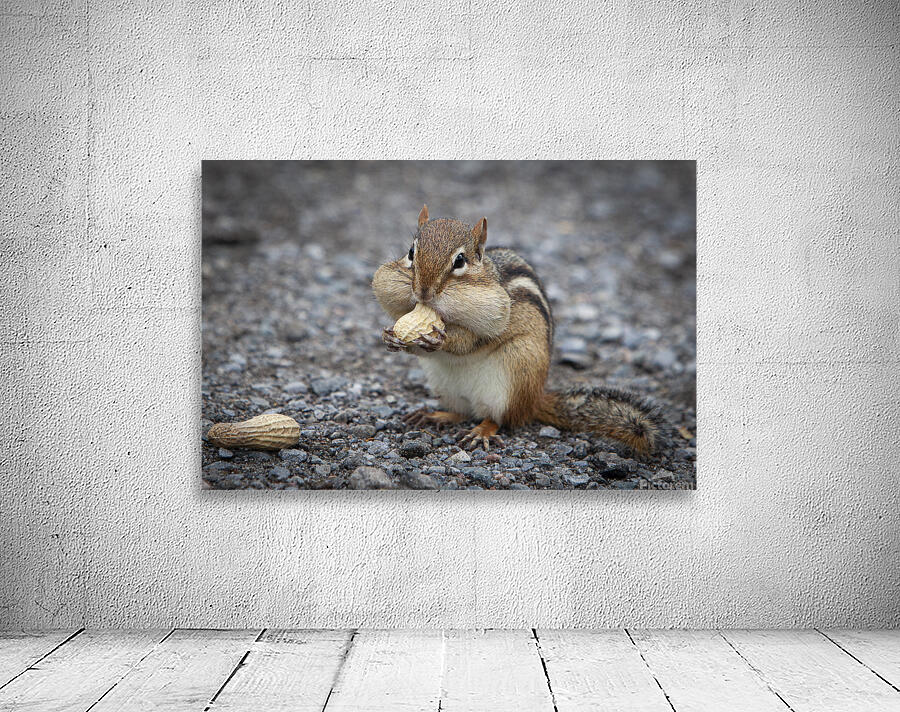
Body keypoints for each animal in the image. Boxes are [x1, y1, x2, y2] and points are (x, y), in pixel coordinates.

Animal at [372, 205, 667, 454]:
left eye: (460, 261)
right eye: (411, 253)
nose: (422, 292)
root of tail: (535, 399)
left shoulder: (495, 316)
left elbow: (469, 341)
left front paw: (440, 341)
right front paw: (389, 337)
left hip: (516, 369)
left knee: (499, 418)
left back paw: (482, 431)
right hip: (443, 384)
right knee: (463, 412)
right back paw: (436, 415)